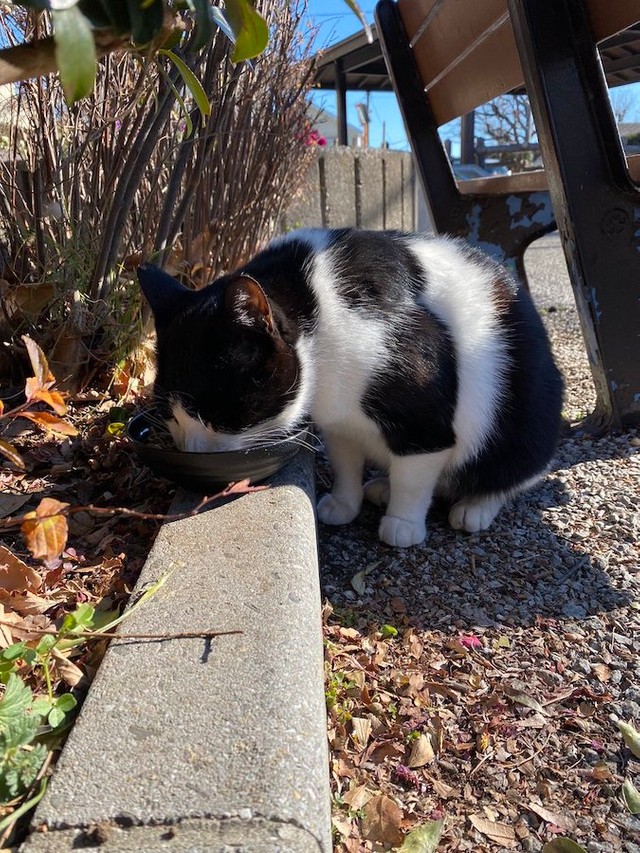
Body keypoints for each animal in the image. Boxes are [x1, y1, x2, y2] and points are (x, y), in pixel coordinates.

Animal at [138, 228, 564, 544]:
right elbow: (345, 461)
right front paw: (345, 503)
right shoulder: (340, 422)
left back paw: (475, 506)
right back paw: (382, 486)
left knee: (511, 473)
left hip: (526, 425)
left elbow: (415, 474)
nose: (191, 450)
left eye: (215, 413)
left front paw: (403, 523)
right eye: (170, 414)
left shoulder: (424, 419)